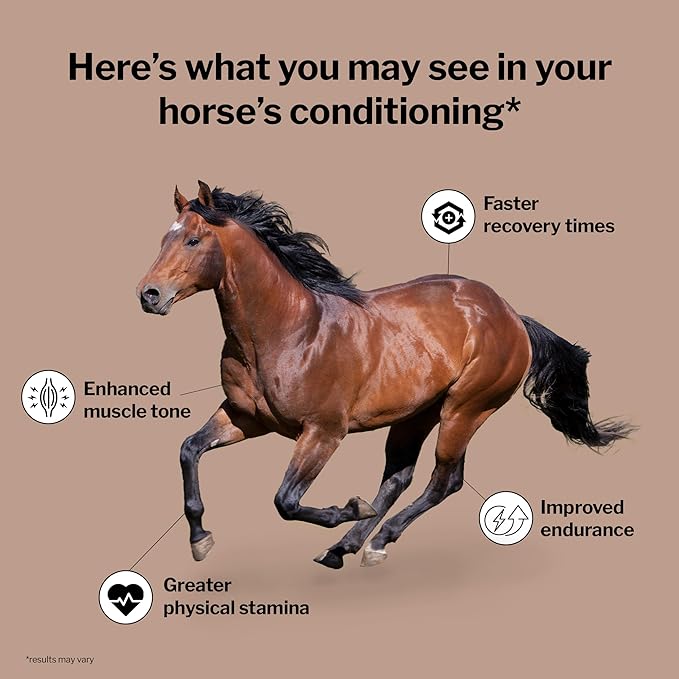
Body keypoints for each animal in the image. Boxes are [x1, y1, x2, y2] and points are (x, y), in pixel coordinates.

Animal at [136, 181, 632, 569]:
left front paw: (350, 507)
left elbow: (286, 501)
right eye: (164, 238)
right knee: (399, 477)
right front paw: (200, 540)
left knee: (444, 480)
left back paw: (375, 541)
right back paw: (343, 548)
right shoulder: (246, 418)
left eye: (193, 241)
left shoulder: (323, 431)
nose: (149, 295)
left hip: (464, 409)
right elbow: (189, 449)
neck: (287, 331)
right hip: (416, 414)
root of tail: (511, 315)